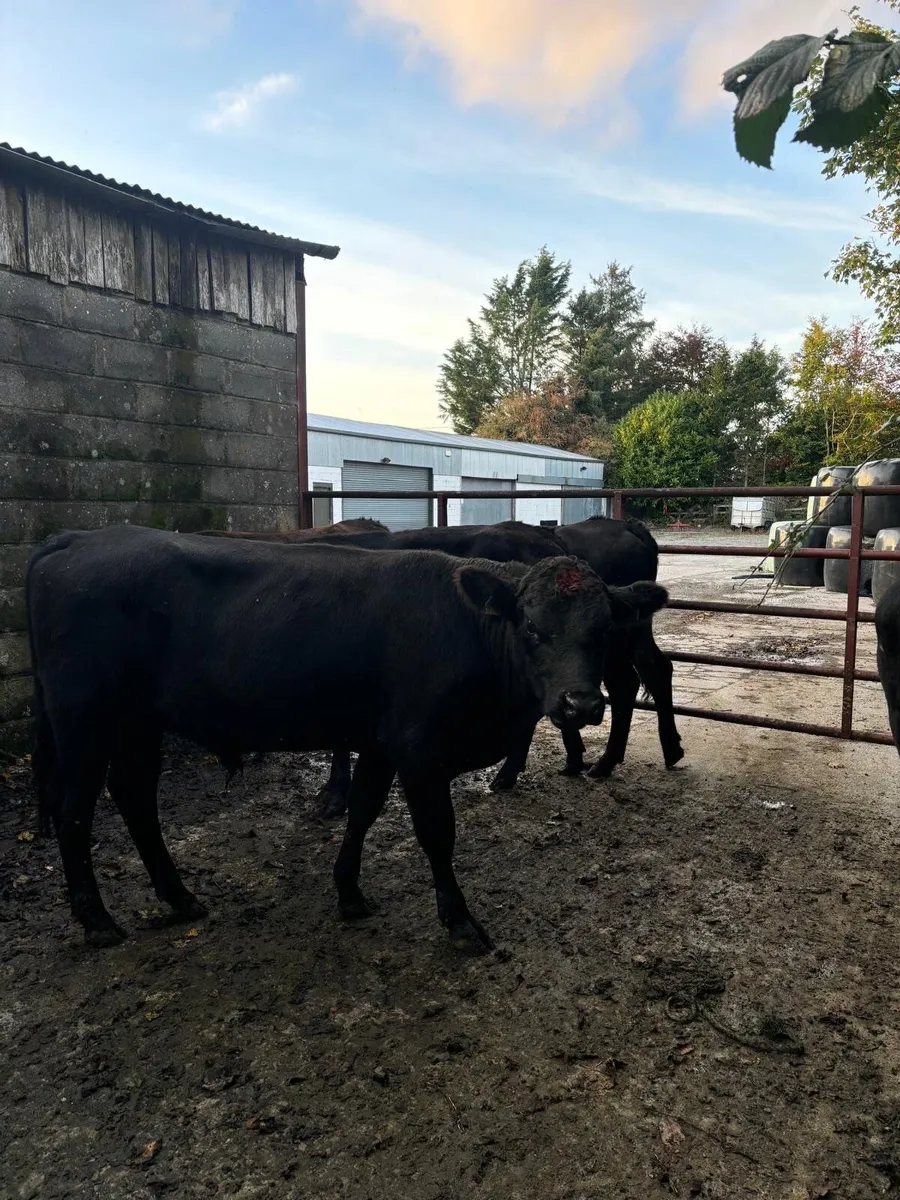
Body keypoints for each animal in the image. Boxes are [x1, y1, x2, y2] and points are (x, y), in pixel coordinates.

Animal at [26, 525, 668, 952]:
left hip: (136, 725)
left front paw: (349, 891)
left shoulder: (381, 742)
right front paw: (459, 920)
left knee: (134, 798)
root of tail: (78, 538)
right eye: (532, 627)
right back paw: (96, 920)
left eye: (603, 628)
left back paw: (178, 896)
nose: (580, 704)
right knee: (74, 810)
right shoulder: (419, 750)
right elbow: (437, 834)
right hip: (85, 722)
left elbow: (363, 810)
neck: (469, 632)